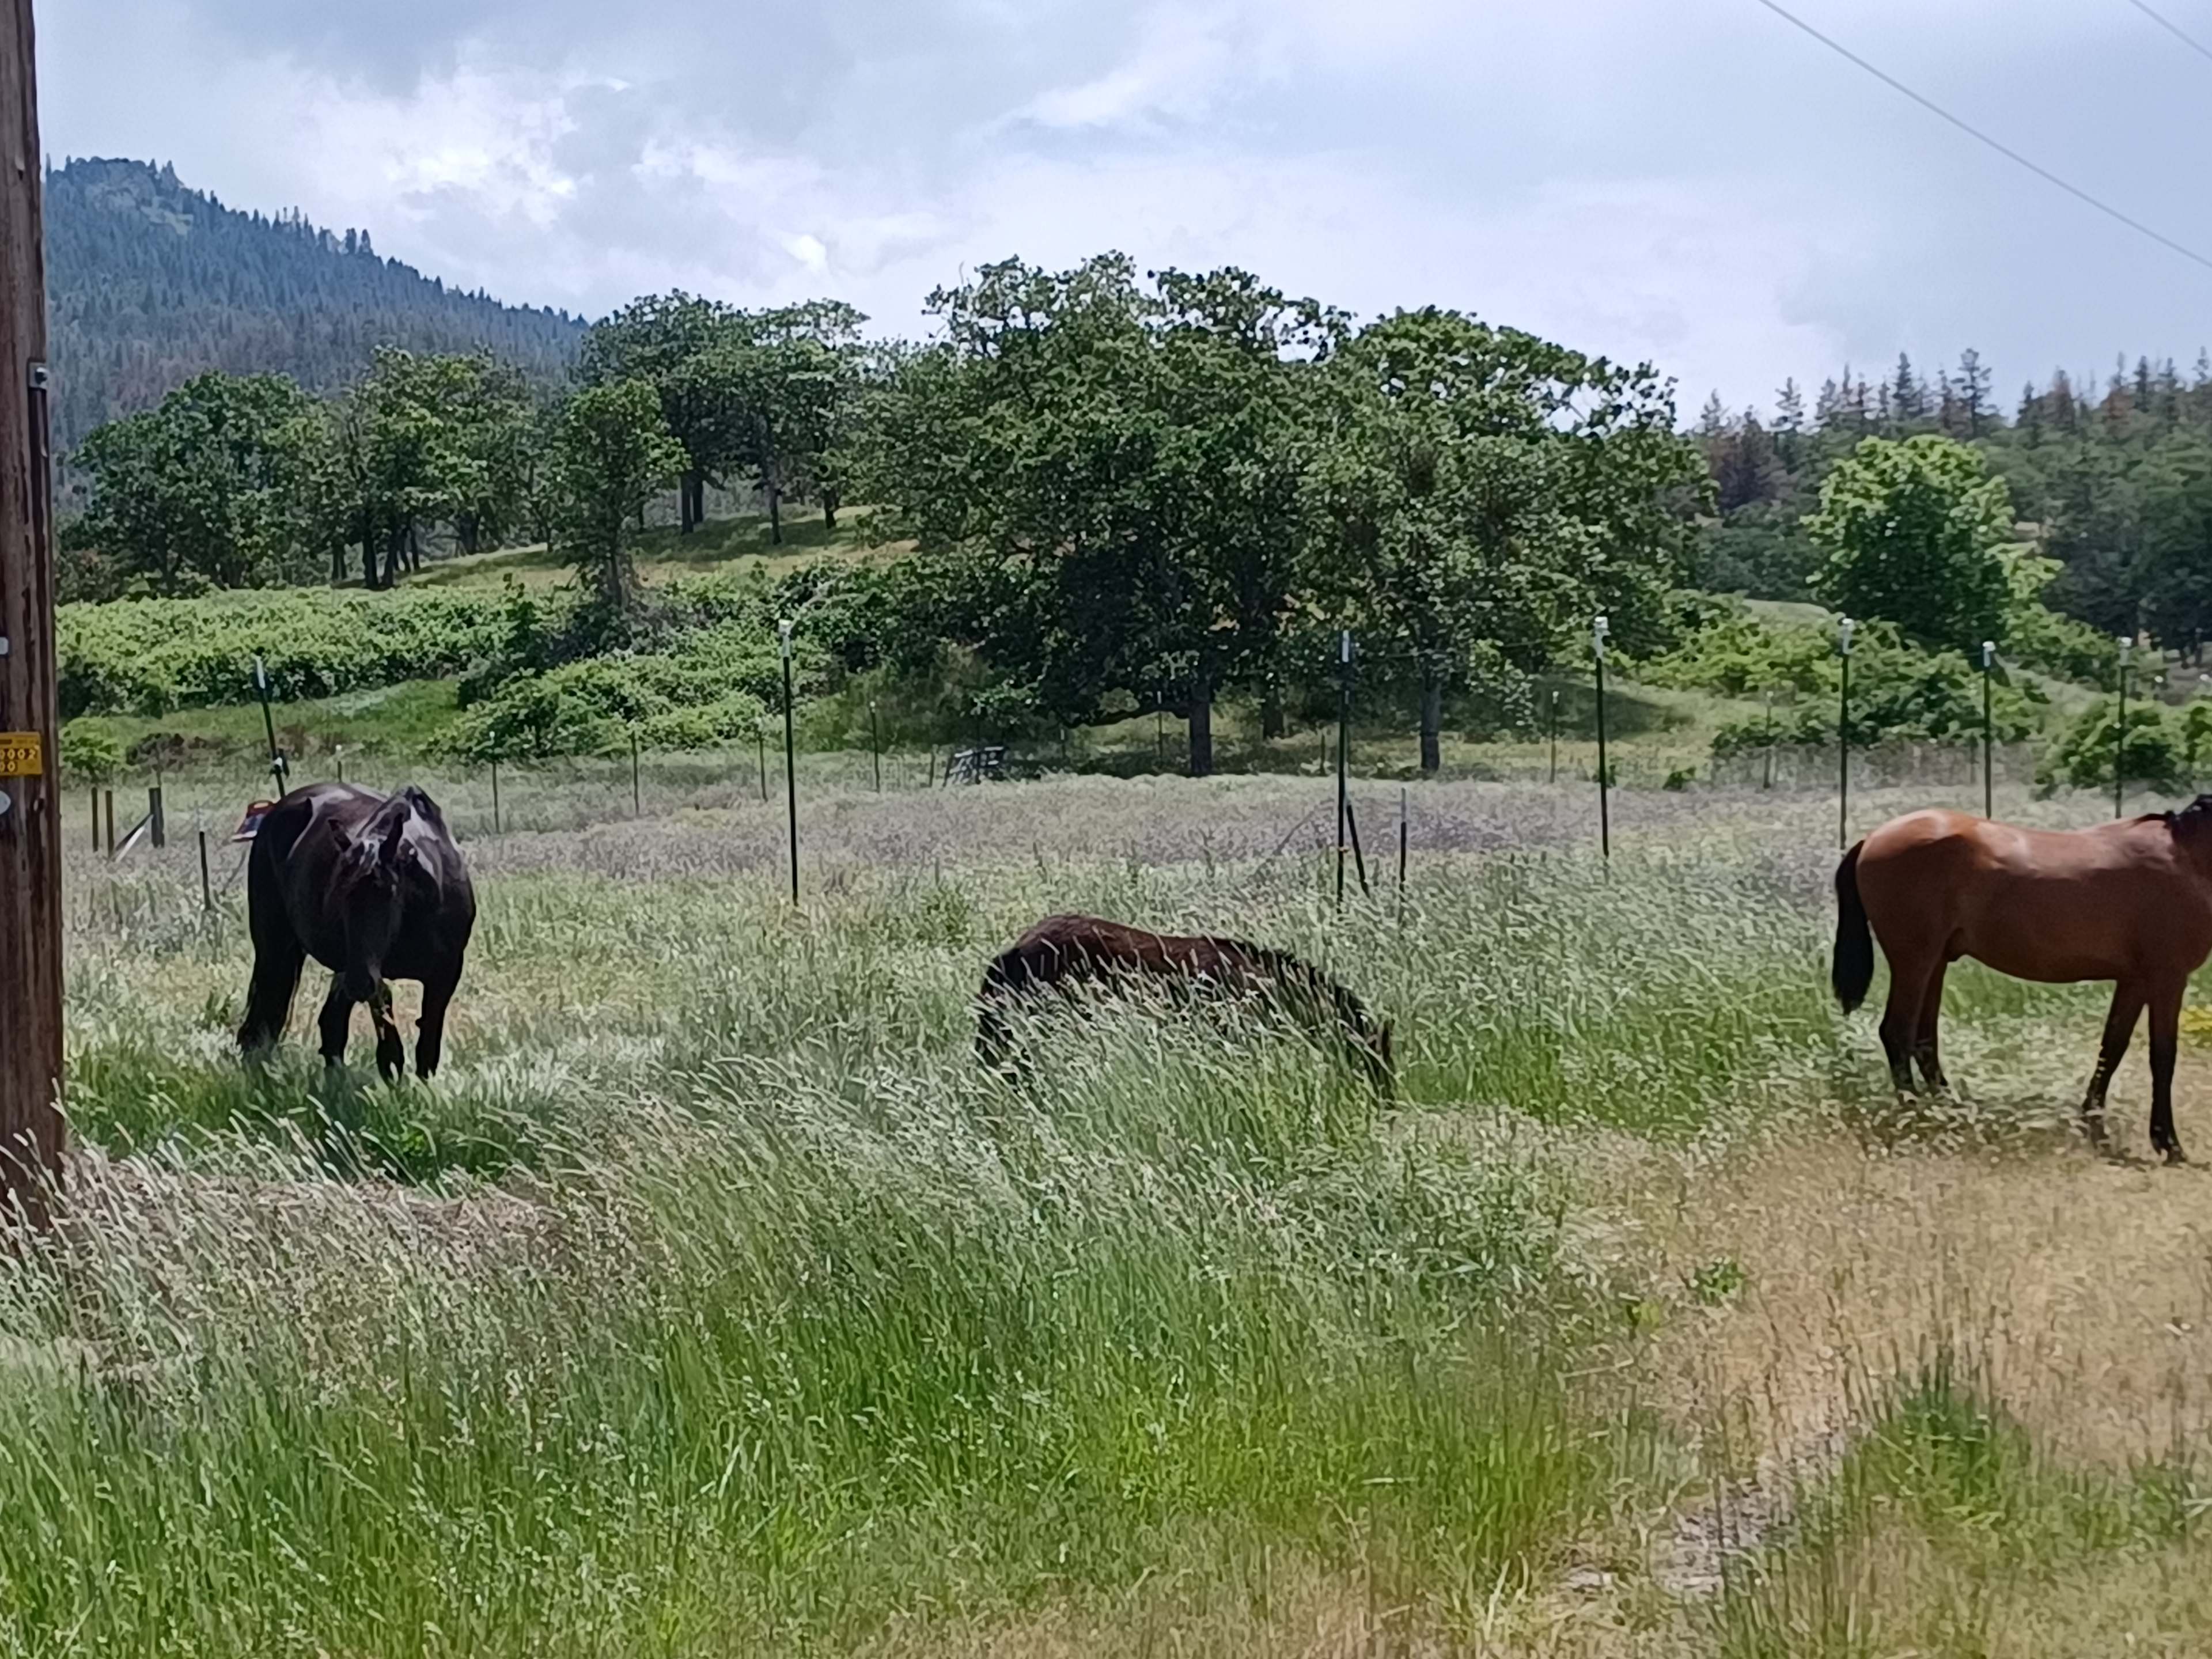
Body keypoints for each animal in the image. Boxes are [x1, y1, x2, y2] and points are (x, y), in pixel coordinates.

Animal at [237, 783, 476, 1081]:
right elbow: (390, 1045)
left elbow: (428, 1047)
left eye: (389, 893)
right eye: (341, 894)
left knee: (329, 1022)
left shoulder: (445, 973)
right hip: (277, 948)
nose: (359, 984)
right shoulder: (370, 973)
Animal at [1833, 799, 2212, 1163]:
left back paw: (1951, 1112)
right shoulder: (2167, 977)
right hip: (1915, 961)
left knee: (1924, 1041)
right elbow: (2163, 1057)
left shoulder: (2134, 980)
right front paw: (2169, 1144)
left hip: (1934, 964)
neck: (2187, 856)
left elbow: (2112, 1049)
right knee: (1898, 1034)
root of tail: (1872, 839)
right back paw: (1916, 1117)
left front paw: (2094, 1125)